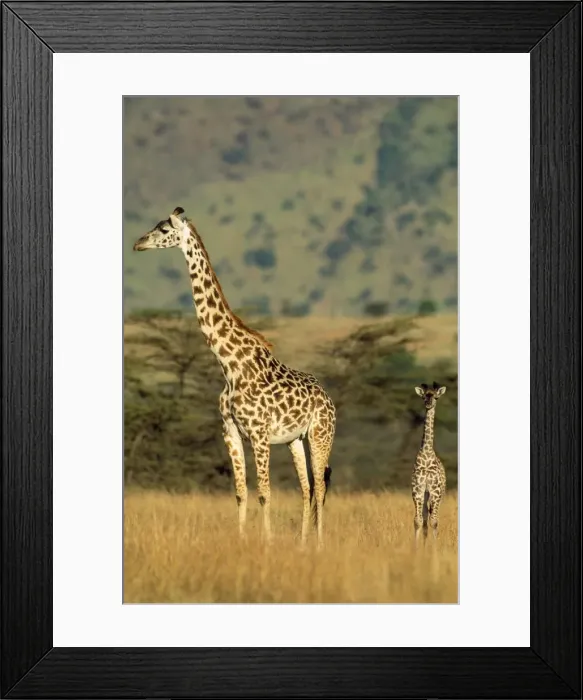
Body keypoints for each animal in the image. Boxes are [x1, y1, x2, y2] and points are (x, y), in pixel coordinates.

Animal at [132, 207, 336, 547]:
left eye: (163, 229)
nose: (137, 244)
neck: (229, 365)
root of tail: (329, 398)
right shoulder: (230, 431)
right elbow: (241, 492)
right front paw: (241, 540)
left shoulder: (260, 433)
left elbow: (264, 492)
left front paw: (266, 542)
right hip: (295, 439)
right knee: (306, 488)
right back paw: (303, 543)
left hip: (321, 434)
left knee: (319, 487)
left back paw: (319, 544)